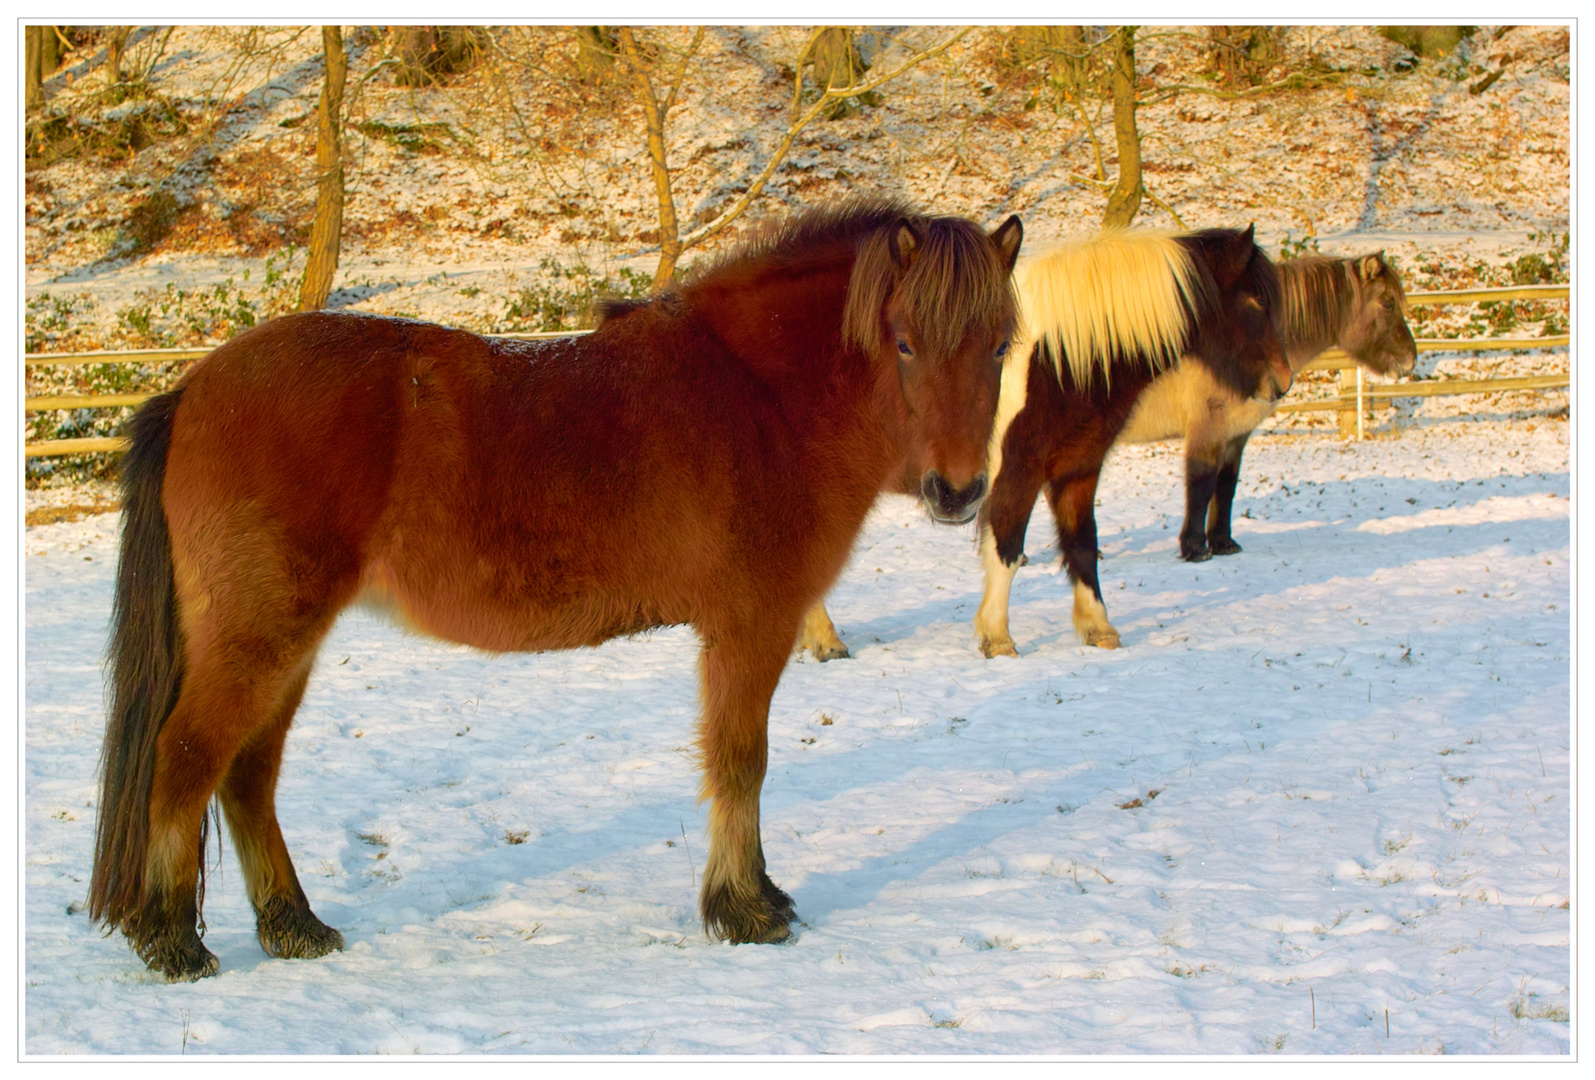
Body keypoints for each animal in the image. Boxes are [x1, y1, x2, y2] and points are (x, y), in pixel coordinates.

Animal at [90, 197, 1020, 982]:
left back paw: (294, 927)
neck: (759, 392)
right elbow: (740, 761)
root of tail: (191, 389)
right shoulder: (750, 626)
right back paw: (172, 939)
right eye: (904, 341)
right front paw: (746, 909)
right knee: (186, 760)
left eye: (1001, 345)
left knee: (247, 777)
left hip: (288, 642)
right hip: (261, 635)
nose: (957, 491)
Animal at [1116, 248, 1416, 561]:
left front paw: (1223, 543)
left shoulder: (1237, 433)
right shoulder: (1208, 429)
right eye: (1387, 302)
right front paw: (1195, 548)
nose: (1410, 359)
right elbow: (1201, 485)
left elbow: (1225, 485)